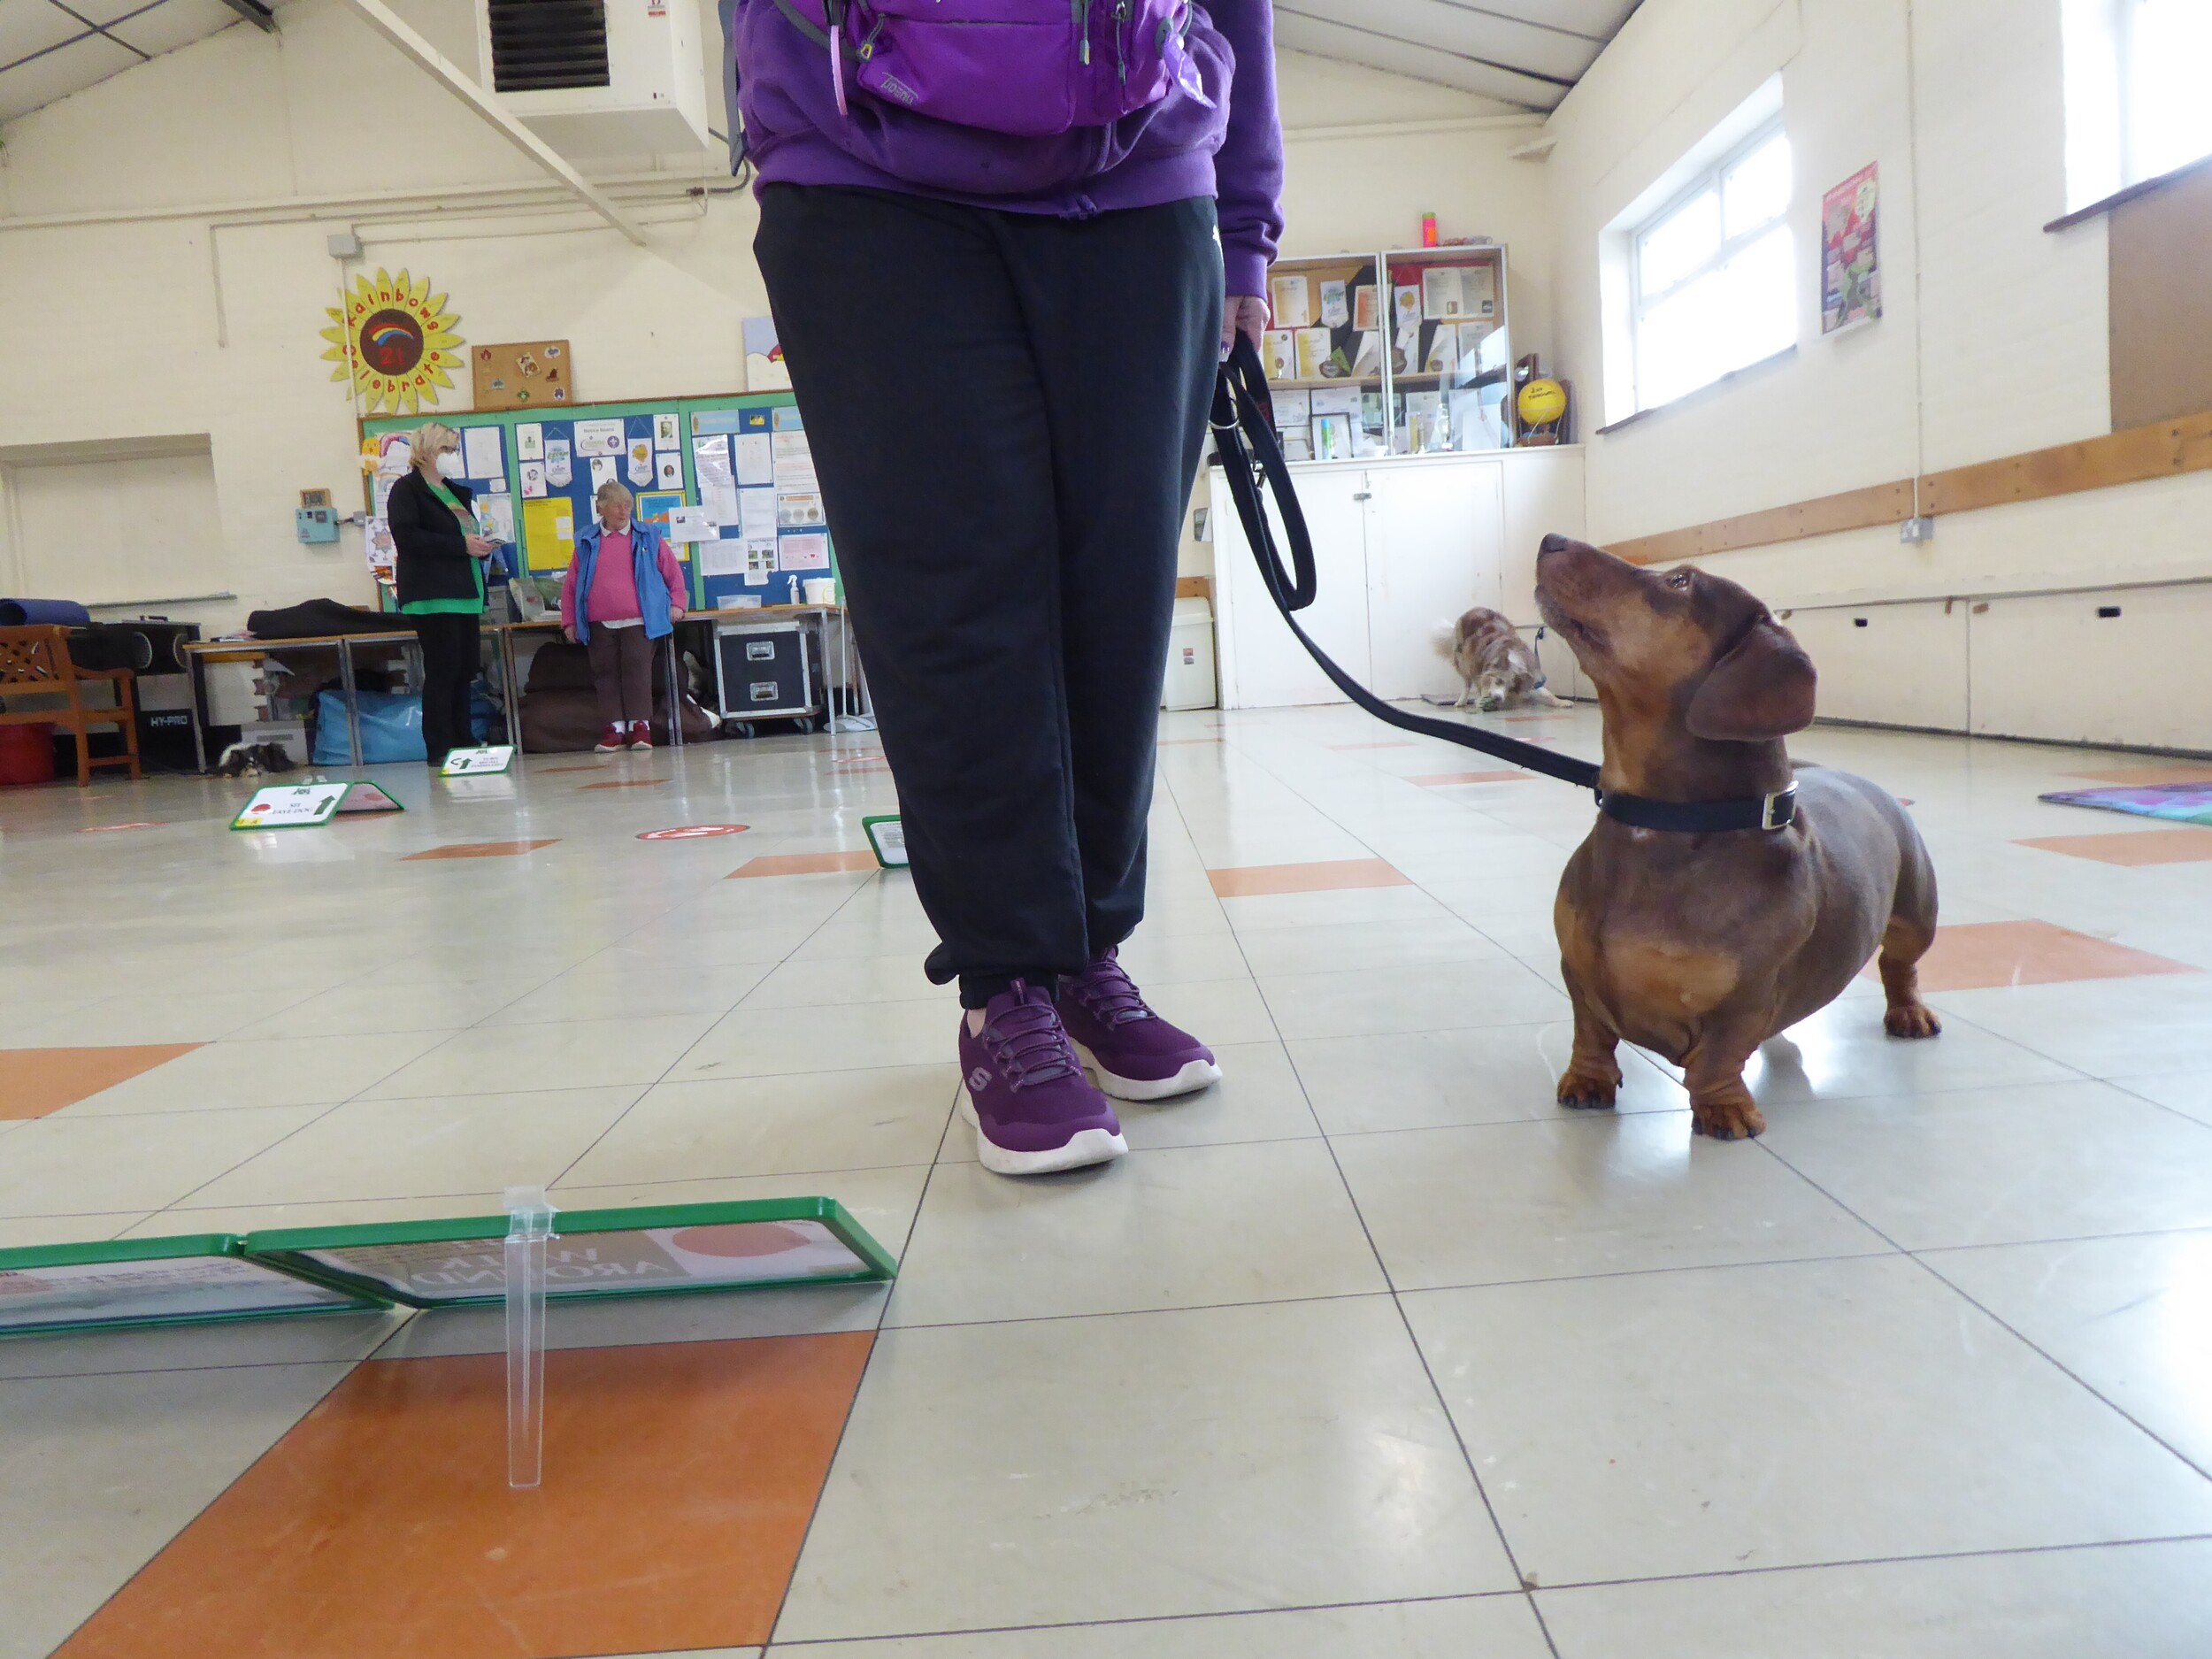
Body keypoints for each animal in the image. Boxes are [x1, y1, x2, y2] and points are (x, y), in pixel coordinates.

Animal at [1435, 606, 1570, 710]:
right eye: (1499, 681)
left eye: (1511, 688)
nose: (1498, 698)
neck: (1514, 661)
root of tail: (1475, 609)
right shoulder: (1482, 672)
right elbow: (1483, 686)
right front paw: (1482, 701)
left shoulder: (1531, 678)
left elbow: (1546, 692)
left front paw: (1562, 702)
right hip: (1463, 662)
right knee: (1466, 683)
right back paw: (1461, 701)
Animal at [1533, 534, 1941, 1140]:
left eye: (1679, 582)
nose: (1551, 540)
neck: (1665, 827)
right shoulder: (1577, 970)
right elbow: (1590, 1032)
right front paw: (1587, 1080)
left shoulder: (1745, 1000)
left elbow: (1719, 1057)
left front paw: (1724, 1107)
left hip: (1917, 914)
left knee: (1899, 964)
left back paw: (1908, 1011)